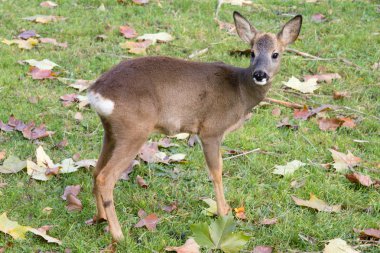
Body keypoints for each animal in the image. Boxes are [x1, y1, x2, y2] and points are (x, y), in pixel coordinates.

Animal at [87, 11, 302, 241]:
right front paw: (223, 212)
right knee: (105, 177)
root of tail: (96, 92)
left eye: (275, 54)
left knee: (96, 170)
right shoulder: (211, 130)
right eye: (252, 53)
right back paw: (118, 235)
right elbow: (216, 171)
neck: (241, 91)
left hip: (112, 132)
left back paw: (100, 218)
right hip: (134, 130)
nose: (260, 74)